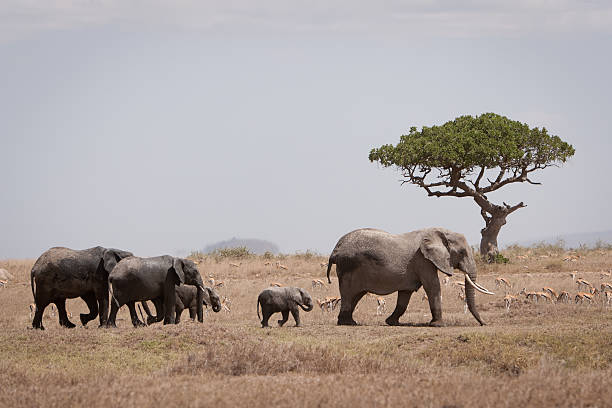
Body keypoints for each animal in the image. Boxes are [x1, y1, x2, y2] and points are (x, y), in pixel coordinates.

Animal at [328, 228, 494, 326]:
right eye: (462, 253)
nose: (484, 324)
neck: (440, 232)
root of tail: (335, 250)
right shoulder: (423, 261)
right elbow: (433, 286)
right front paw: (438, 325)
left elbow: (405, 295)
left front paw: (392, 322)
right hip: (348, 268)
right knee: (349, 294)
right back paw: (348, 324)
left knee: (355, 295)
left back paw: (348, 322)